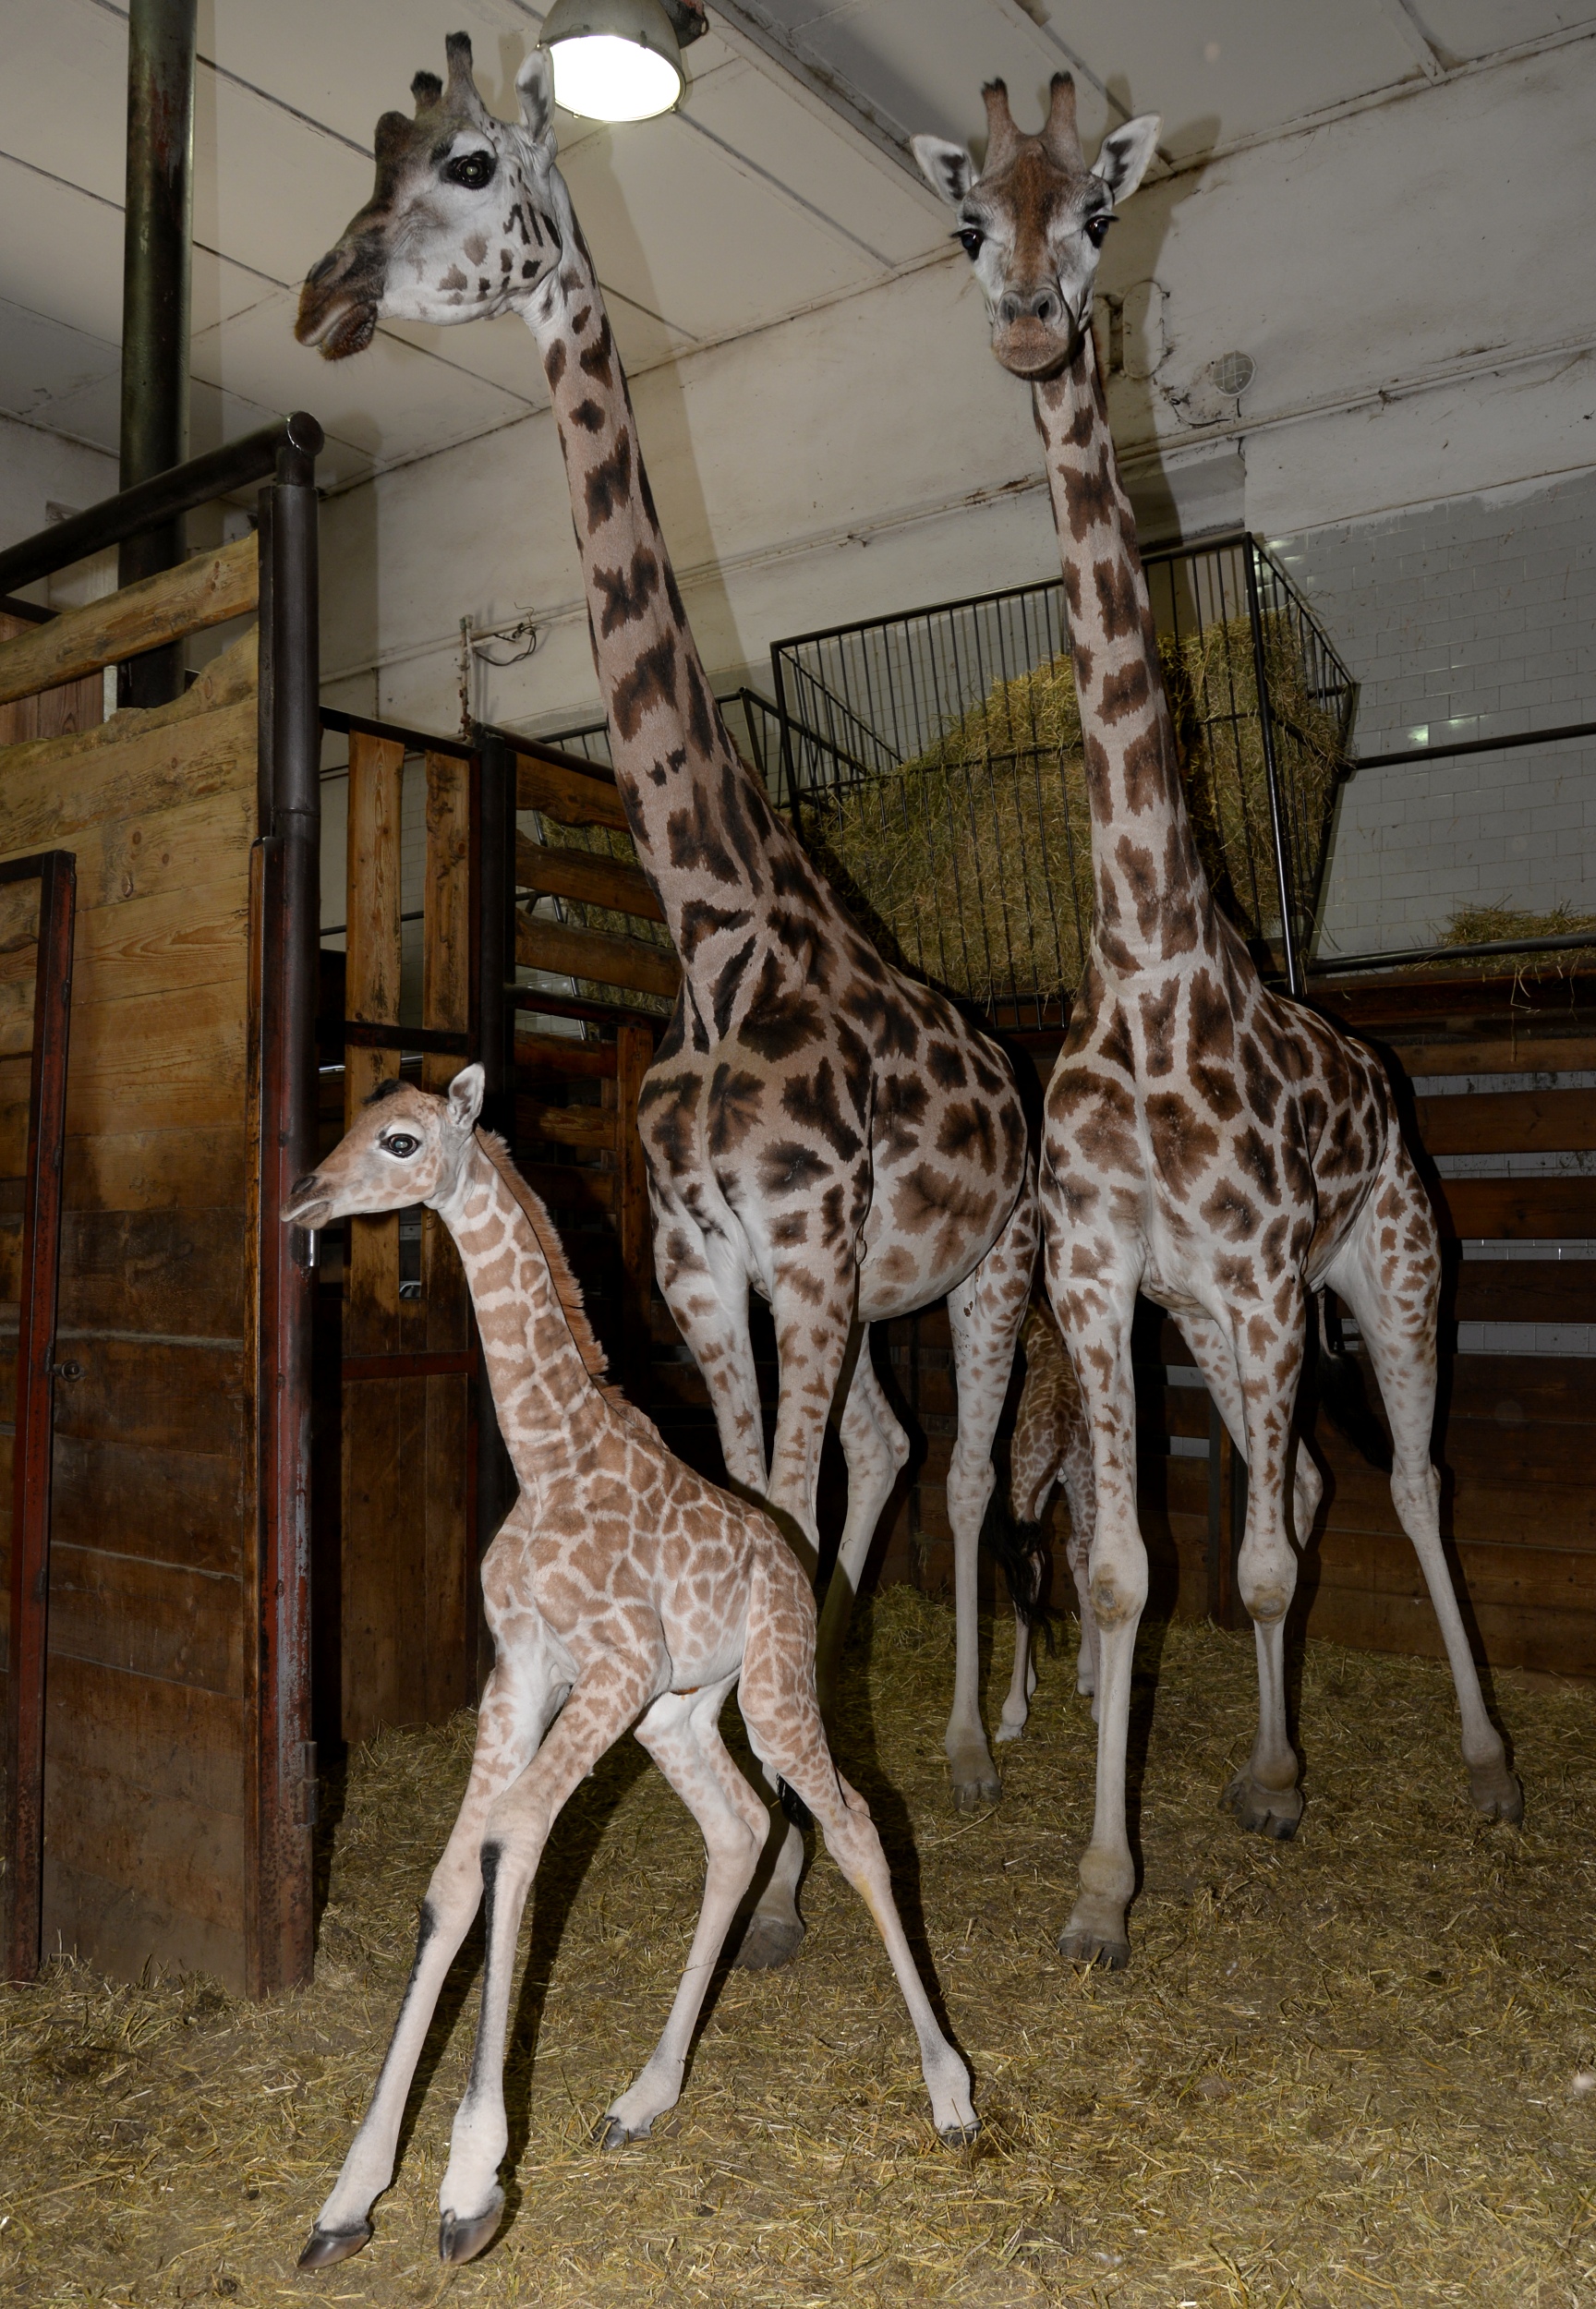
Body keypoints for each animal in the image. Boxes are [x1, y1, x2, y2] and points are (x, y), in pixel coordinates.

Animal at [283, 1067, 977, 2272]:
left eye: (401, 1140)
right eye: (349, 1123)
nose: (307, 1200)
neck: (551, 1454)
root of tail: (787, 1561)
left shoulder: (610, 1664)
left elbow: (514, 1840)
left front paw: (470, 2187)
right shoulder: (524, 1671)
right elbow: (450, 1882)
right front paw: (347, 2198)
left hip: (771, 1690)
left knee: (851, 1823)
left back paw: (952, 2095)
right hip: (679, 1715)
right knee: (742, 1828)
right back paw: (643, 2097)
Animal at [296, 38, 1039, 1967]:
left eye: (469, 167)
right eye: (371, 165)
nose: (326, 295)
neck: (714, 943)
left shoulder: (808, 1250)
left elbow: (790, 1498)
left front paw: (781, 1870)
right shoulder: (709, 1267)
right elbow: (761, 1497)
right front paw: (767, 1853)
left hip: (998, 1269)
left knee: (964, 1465)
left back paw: (973, 1745)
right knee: (886, 1445)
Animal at [915, 77, 1521, 1967]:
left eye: (1099, 211)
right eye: (970, 223)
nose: (1030, 321)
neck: (1149, 964)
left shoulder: (1256, 1280)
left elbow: (1256, 1560)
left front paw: (1264, 1785)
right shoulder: (1114, 1279)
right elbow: (1126, 1571)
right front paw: (1105, 1885)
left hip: (1381, 1276)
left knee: (1403, 1486)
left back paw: (1474, 1762)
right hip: (1229, 1328)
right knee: (1304, 1494)